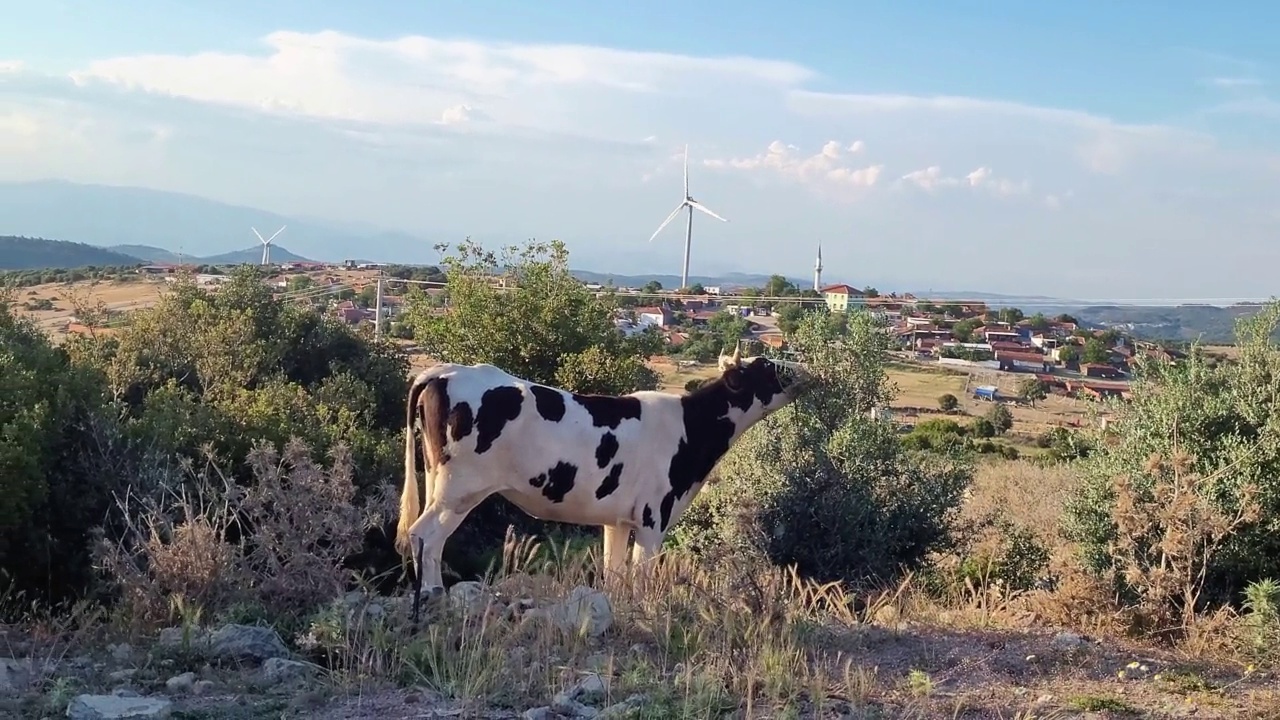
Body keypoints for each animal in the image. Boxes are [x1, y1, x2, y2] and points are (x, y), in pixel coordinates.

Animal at [391, 345, 808, 620]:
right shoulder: (653, 518)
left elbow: (615, 573)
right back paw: (433, 594)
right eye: (766, 365)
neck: (690, 425)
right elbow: (642, 575)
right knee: (425, 534)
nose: (803, 369)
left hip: (438, 479)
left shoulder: (618, 521)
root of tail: (446, 372)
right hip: (459, 490)